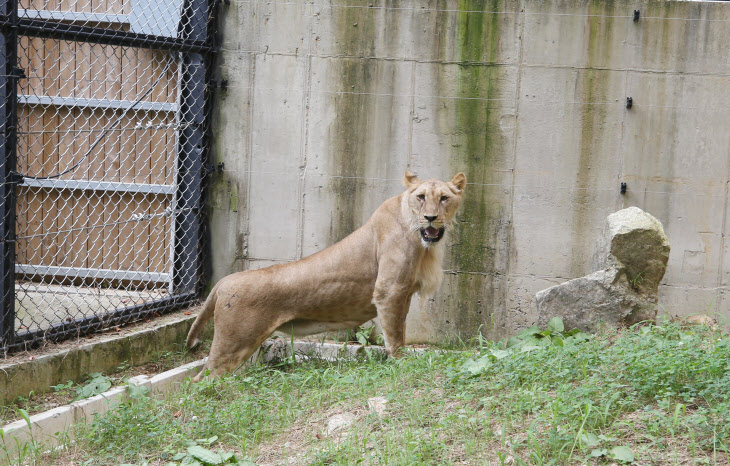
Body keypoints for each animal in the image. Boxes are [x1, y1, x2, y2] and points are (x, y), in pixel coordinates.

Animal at [185, 169, 464, 380]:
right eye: (421, 197)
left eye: (444, 198)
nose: (431, 218)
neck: (423, 242)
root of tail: (223, 281)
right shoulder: (389, 291)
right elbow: (394, 337)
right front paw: (401, 365)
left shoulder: (402, 295)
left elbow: (401, 331)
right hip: (233, 344)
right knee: (200, 381)